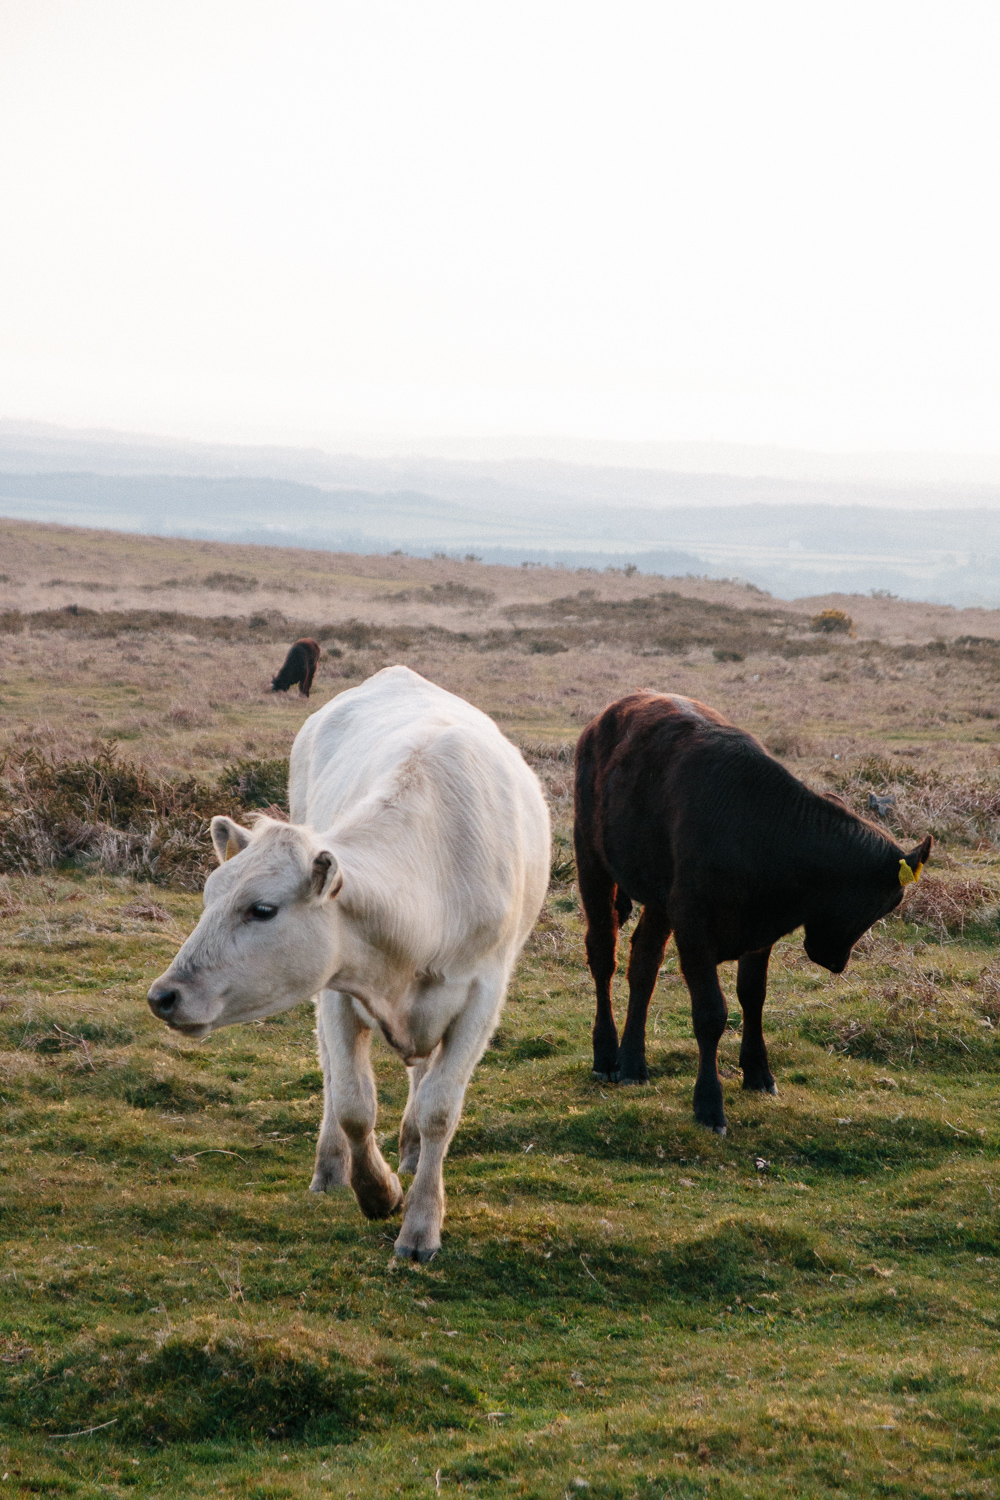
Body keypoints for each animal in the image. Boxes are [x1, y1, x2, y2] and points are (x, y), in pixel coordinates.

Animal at [147, 663, 551, 1260]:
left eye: (262, 909)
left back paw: (410, 1150)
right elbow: (353, 1102)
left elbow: (438, 1109)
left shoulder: (482, 996)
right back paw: (332, 1166)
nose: (164, 995)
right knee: (334, 1077)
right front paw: (377, 1191)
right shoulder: (338, 989)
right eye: (209, 893)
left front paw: (421, 1224)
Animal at [575, 696, 935, 1128]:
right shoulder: (693, 928)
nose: (836, 962)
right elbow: (711, 1013)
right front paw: (709, 1104)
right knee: (603, 955)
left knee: (643, 963)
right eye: (888, 902)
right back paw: (605, 1055)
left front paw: (759, 1073)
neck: (764, 834)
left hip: (659, 897)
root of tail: (606, 717)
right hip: (591, 860)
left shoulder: (758, 933)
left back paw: (632, 1063)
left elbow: (753, 996)